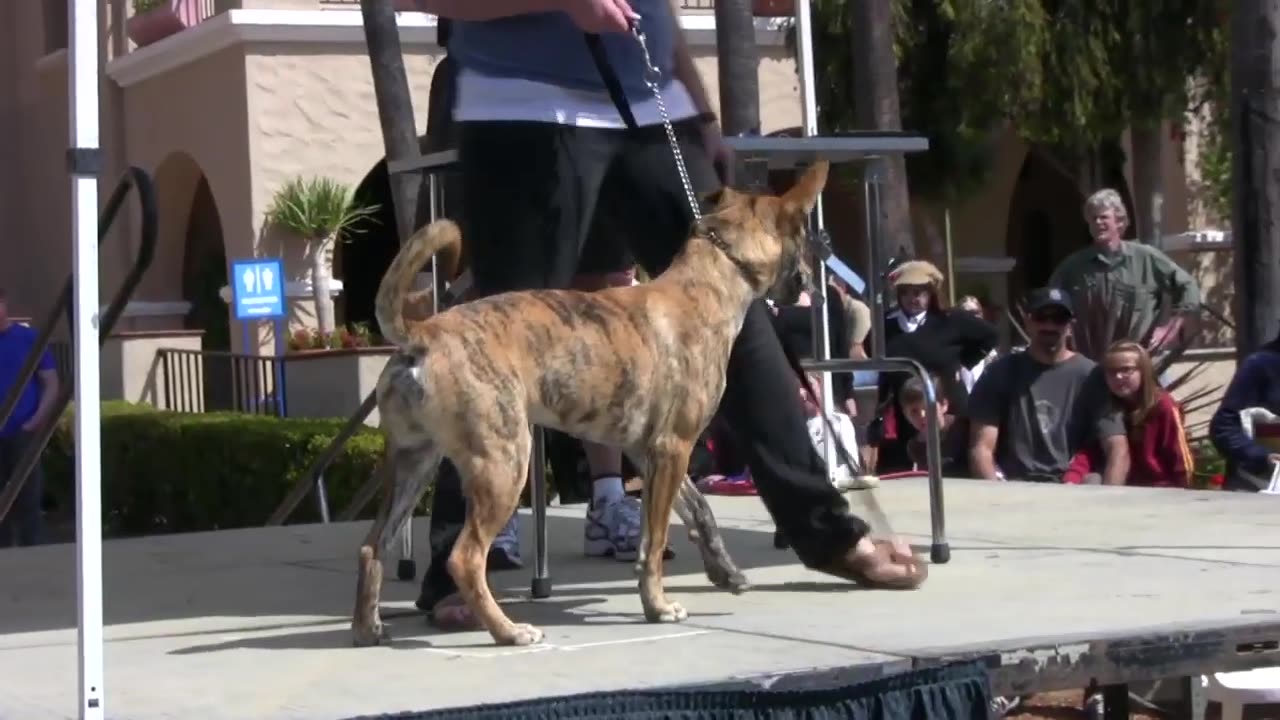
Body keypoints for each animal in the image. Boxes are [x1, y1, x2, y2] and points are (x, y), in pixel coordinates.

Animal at [350, 161, 829, 645]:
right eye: (804, 234)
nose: (815, 278)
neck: (709, 282)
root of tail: (421, 335)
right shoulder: (674, 447)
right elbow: (655, 540)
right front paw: (658, 606)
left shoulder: (650, 453)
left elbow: (699, 511)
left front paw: (725, 572)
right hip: (504, 460)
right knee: (464, 558)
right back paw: (508, 630)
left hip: (414, 463)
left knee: (373, 545)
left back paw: (368, 628)